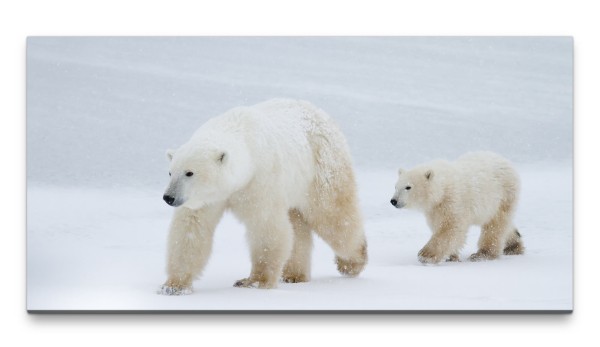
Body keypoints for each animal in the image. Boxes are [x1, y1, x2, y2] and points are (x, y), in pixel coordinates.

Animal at [158, 98, 366, 296]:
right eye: (170, 172)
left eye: (189, 173)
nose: (169, 197)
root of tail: (323, 114)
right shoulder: (207, 199)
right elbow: (191, 229)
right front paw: (173, 286)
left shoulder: (260, 179)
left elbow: (265, 225)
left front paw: (254, 281)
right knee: (297, 225)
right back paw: (294, 275)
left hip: (322, 167)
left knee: (333, 217)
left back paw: (352, 262)